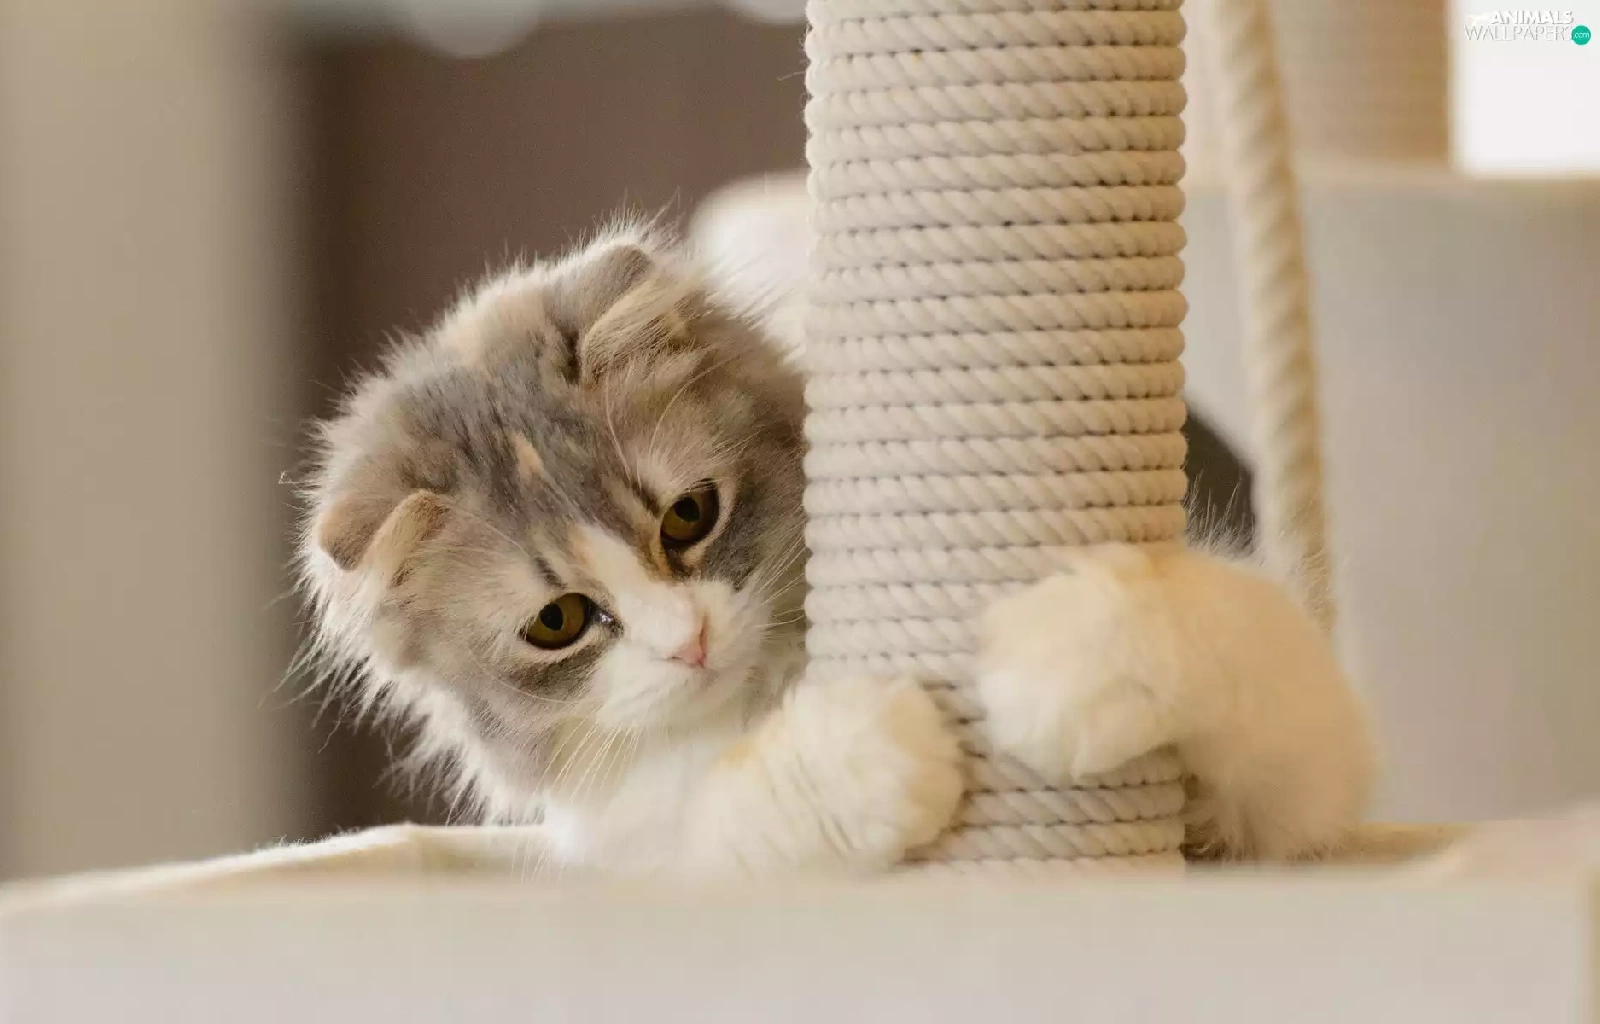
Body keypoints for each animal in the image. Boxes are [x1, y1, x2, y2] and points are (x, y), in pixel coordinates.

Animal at [294, 223, 1375, 878]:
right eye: (558, 622)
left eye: (687, 518)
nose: (687, 643)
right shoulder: (634, 856)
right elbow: (735, 812)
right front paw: (879, 749)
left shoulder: (1298, 792)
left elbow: (1206, 628)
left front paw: (1060, 669)